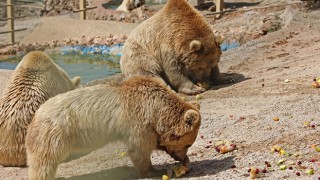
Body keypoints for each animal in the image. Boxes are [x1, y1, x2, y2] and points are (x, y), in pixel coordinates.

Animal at [25, 76, 200, 180]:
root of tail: (35, 116)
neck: (155, 109)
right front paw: (156, 171)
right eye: (188, 144)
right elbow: (139, 149)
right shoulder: (138, 120)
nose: (183, 158)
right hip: (53, 135)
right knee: (43, 163)